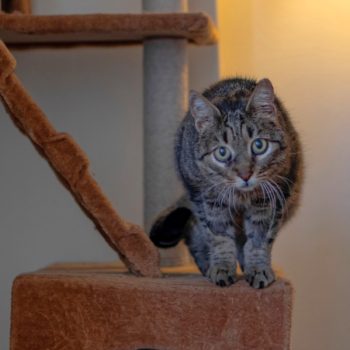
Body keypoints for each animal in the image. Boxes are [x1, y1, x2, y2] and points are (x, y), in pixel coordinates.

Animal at [150, 78, 304, 288]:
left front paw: (258, 269)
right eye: (222, 152)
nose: (245, 174)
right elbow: (219, 237)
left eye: (259, 145)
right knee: (193, 230)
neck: (242, 195)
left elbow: (258, 240)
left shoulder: (273, 197)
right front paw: (222, 268)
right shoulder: (207, 199)